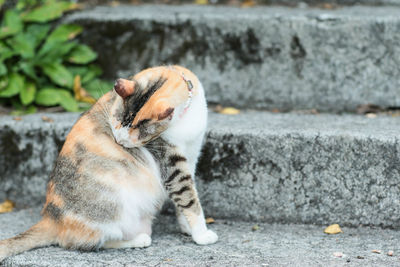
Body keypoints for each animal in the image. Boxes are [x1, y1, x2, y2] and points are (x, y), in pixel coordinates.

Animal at [0, 66, 217, 262]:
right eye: (117, 121)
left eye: (138, 131)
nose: (119, 140)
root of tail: (50, 217)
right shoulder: (170, 162)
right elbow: (189, 199)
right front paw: (202, 235)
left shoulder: (191, 155)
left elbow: (185, 199)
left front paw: (187, 228)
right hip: (114, 209)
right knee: (86, 243)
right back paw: (139, 240)